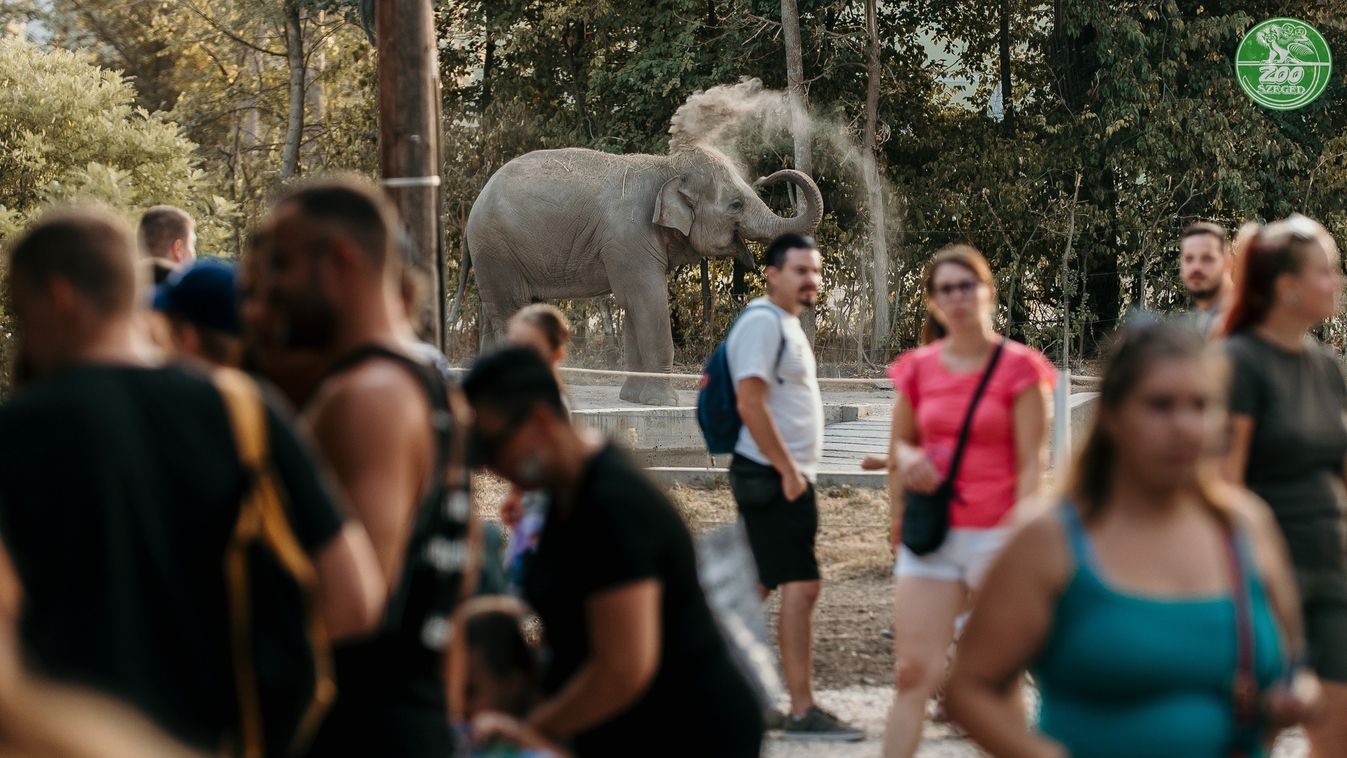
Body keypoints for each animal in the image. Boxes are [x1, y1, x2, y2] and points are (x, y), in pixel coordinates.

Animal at [460, 142, 818, 403]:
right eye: (736, 205)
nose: (767, 177)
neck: (667, 168)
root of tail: (474, 206)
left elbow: (634, 306)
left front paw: (634, 399)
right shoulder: (629, 239)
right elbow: (647, 300)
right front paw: (666, 402)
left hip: (495, 257)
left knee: (498, 312)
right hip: (496, 249)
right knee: (510, 309)